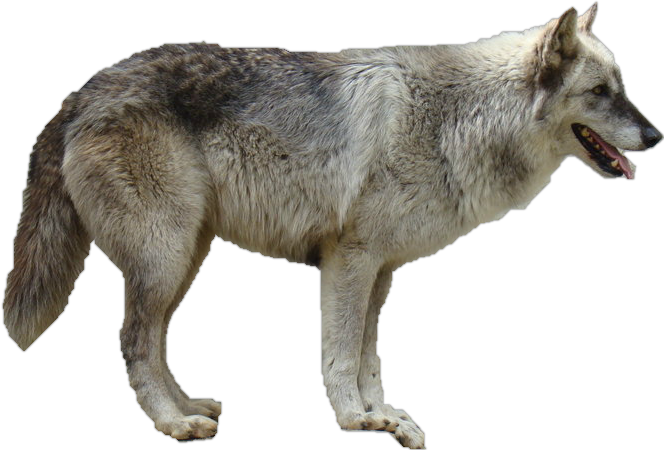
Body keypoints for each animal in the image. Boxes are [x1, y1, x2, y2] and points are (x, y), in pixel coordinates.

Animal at [4, 4, 660, 448]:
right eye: (600, 92)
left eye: (621, 87)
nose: (656, 136)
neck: (459, 118)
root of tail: (79, 95)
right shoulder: (350, 261)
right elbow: (341, 354)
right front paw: (356, 419)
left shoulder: (381, 272)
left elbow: (368, 356)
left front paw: (386, 417)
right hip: (166, 260)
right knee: (134, 342)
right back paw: (173, 423)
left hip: (186, 259)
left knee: (153, 341)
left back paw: (188, 405)